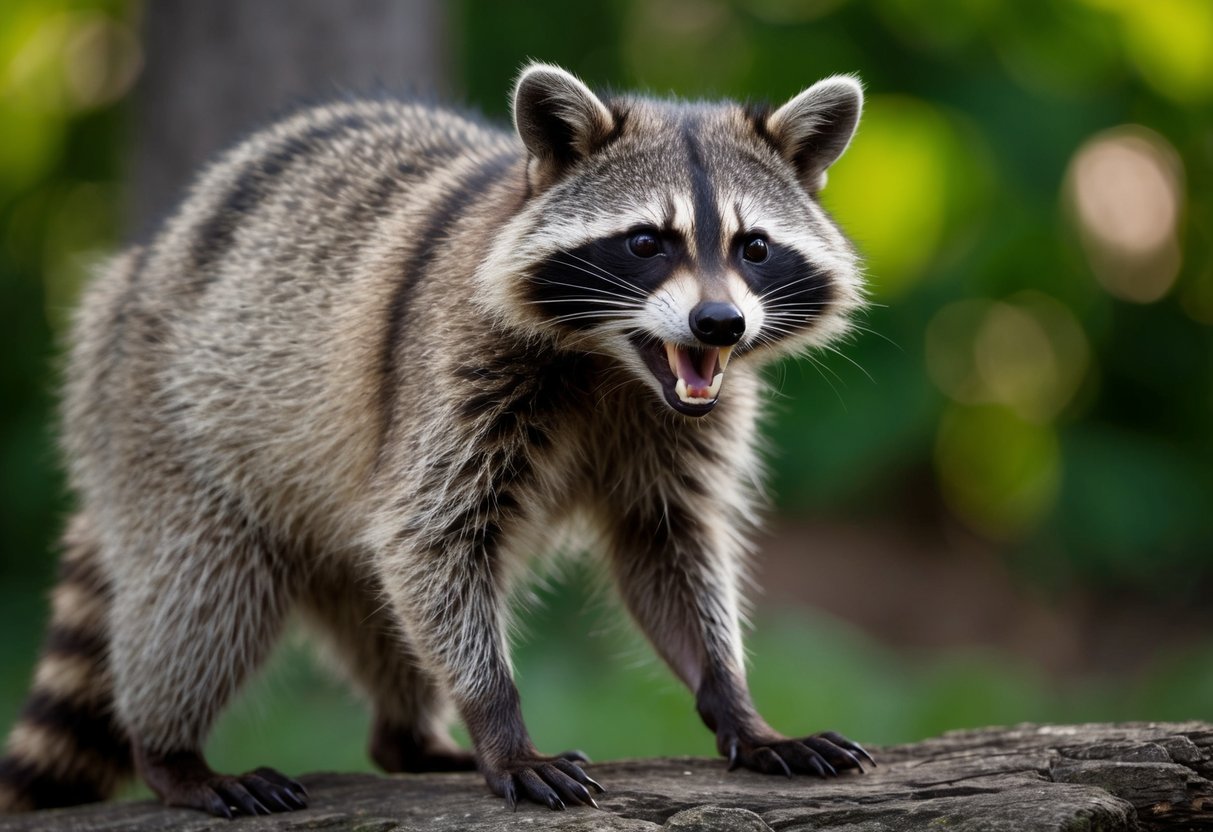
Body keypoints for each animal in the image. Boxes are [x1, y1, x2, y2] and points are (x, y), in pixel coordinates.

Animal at [0, 63, 870, 817]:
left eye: (753, 247)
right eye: (647, 241)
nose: (718, 323)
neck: (614, 360)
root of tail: (140, 266)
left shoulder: (686, 423)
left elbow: (665, 543)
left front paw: (736, 703)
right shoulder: (447, 369)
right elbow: (430, 538)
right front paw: (499, 721)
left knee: (375, 610)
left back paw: (406, 737)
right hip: (161, 415)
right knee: (201, 589)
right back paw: (170, 752)